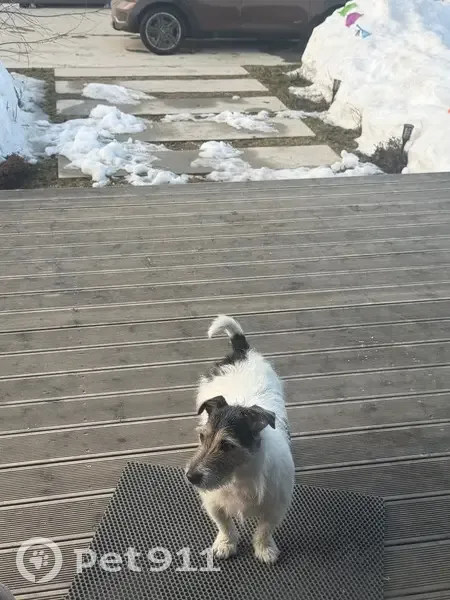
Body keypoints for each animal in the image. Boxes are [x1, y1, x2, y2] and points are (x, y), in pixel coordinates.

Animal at [185, 314, 295, 564]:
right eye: (202, 436)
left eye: (227, 445)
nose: (191, 477)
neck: (239, 476)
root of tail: (241, 352)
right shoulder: (214, 502)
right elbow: (225, 525)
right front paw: (225, 544)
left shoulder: (275, 506)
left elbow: (264, 529)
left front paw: (265, 549)